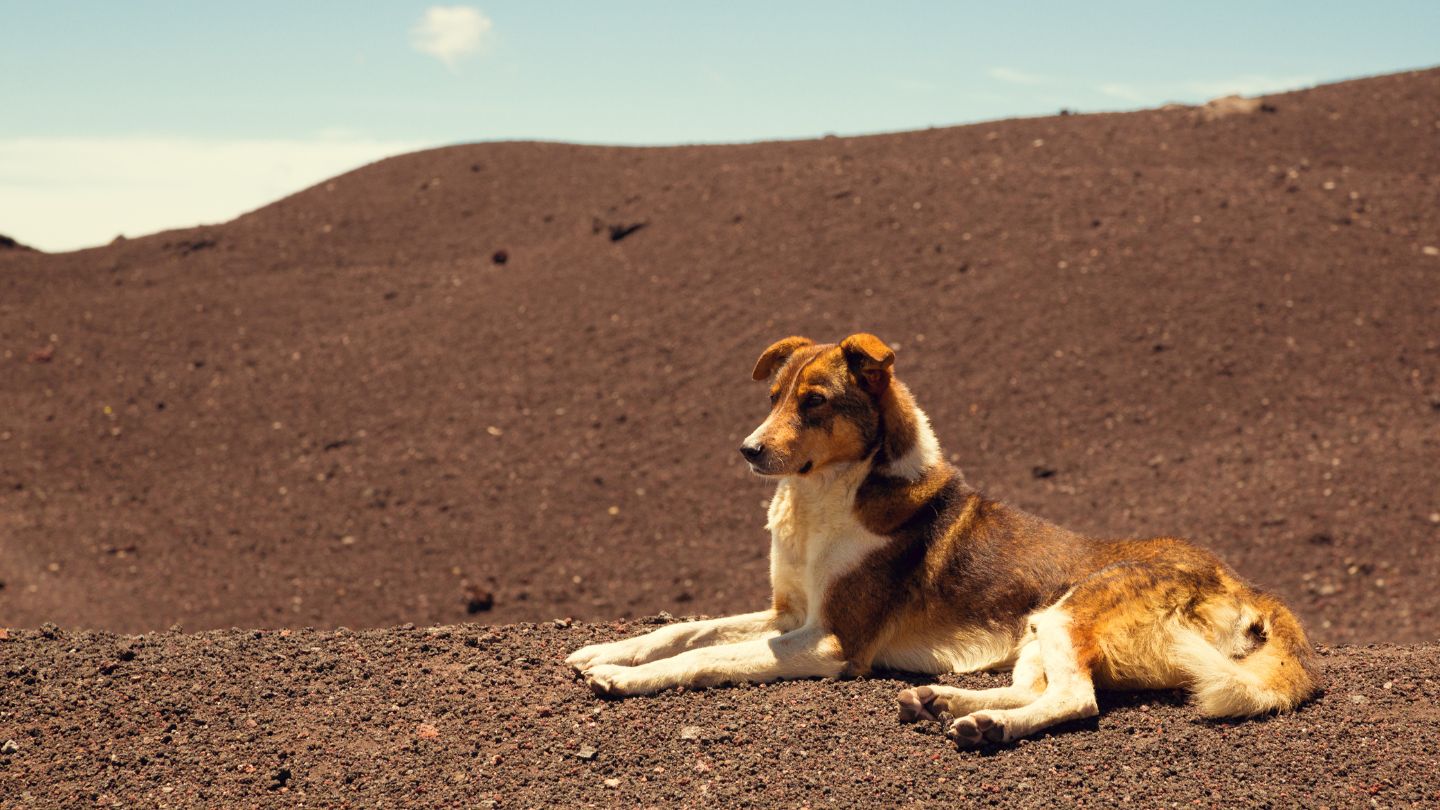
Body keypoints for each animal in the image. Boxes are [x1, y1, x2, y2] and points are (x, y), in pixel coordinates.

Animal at [561, 334, 1319, 743]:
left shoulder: (832, 643)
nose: (747, 450)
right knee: (1038, 689)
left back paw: (986, 728)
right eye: (773, 398)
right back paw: (947, 704)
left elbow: (711, 657)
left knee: (1076, 701)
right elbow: (688, 629)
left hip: (1072, 609)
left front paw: (624, 679)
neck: (824, 499)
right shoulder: (788, 612)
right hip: (1038, 625)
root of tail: (1247, 585)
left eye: (815, 402)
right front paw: (605, 651)